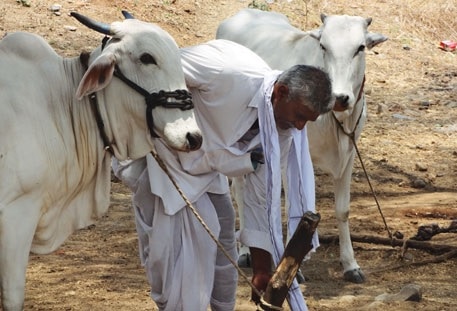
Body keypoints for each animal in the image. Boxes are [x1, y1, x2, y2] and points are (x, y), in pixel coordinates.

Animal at [216, 7, 386, 286]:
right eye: (324, 46)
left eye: (360, 47)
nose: (341, 98)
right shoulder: (292, 157)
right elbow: (297, 208)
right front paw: (296, 269)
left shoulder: (349, 155)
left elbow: (343, 210)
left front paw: (350, 265)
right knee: (239, 192)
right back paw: (244, 252)